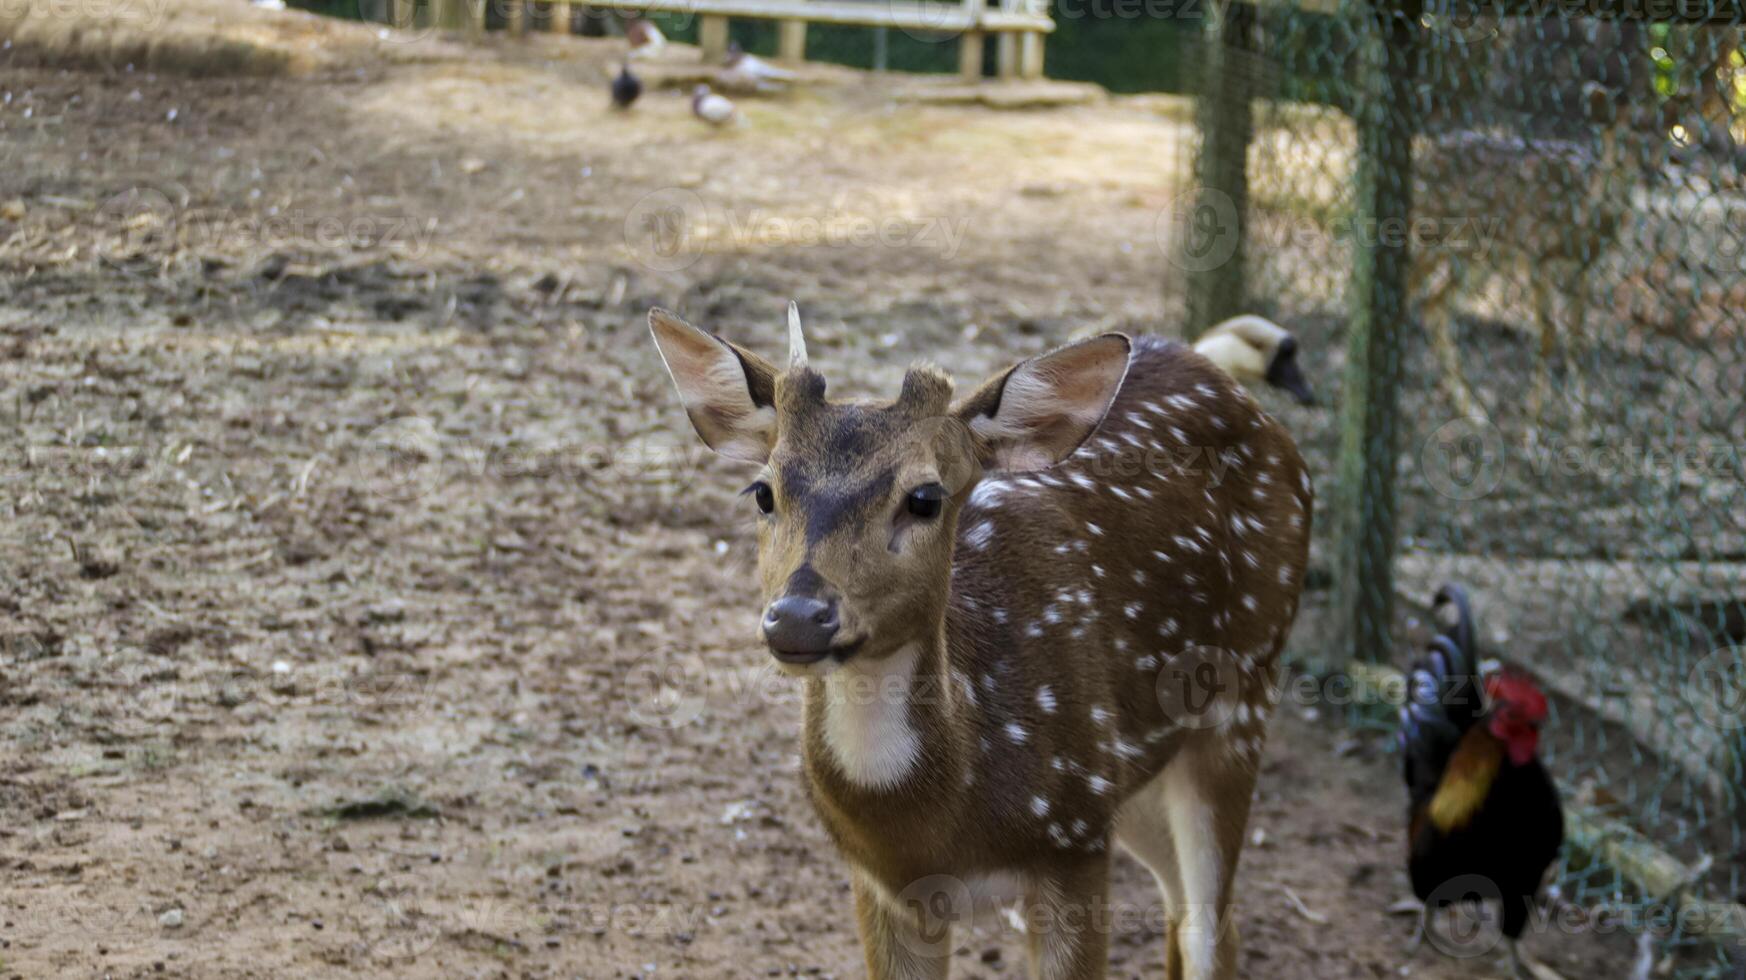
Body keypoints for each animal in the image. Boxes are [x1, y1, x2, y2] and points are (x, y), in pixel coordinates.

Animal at [653, 305, 1312, 978]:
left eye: (925, 498)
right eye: (762, 491)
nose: (798, 617)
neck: (936, 827)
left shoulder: (1074, 838)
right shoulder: (878, 880)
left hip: (1240, 701)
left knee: (1211, 925)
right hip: (1137, 775)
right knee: (1182, 910)